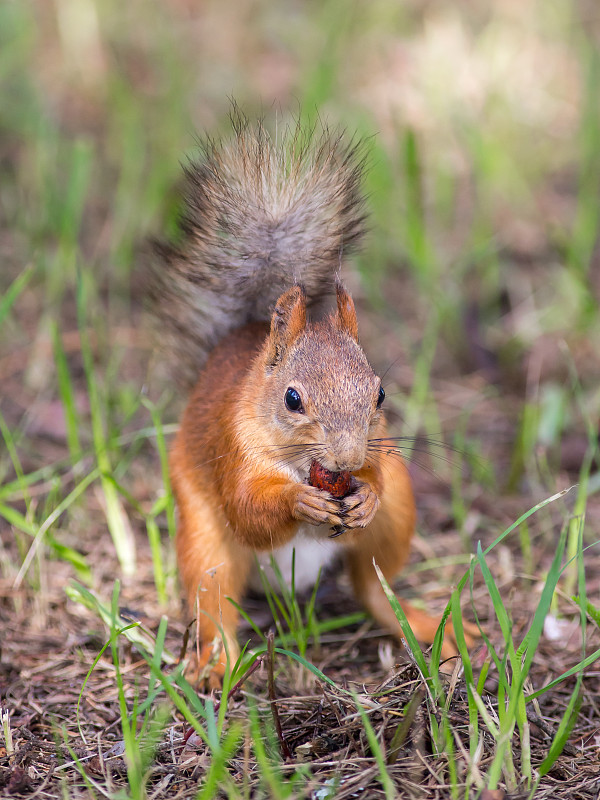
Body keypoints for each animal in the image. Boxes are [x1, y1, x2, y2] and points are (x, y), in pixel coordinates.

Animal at [151, 114, 474, 688]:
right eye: (292, 398)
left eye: (380, 392)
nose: (346, 460)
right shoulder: (233, 447)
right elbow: (249, 508)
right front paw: (297, 502)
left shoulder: (380, 453)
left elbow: (376, 478)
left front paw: (364, 494)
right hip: (203, 539)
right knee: (213, 602)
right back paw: (217, 664)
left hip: (398, 518)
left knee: (372, 587)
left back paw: (427, 624)